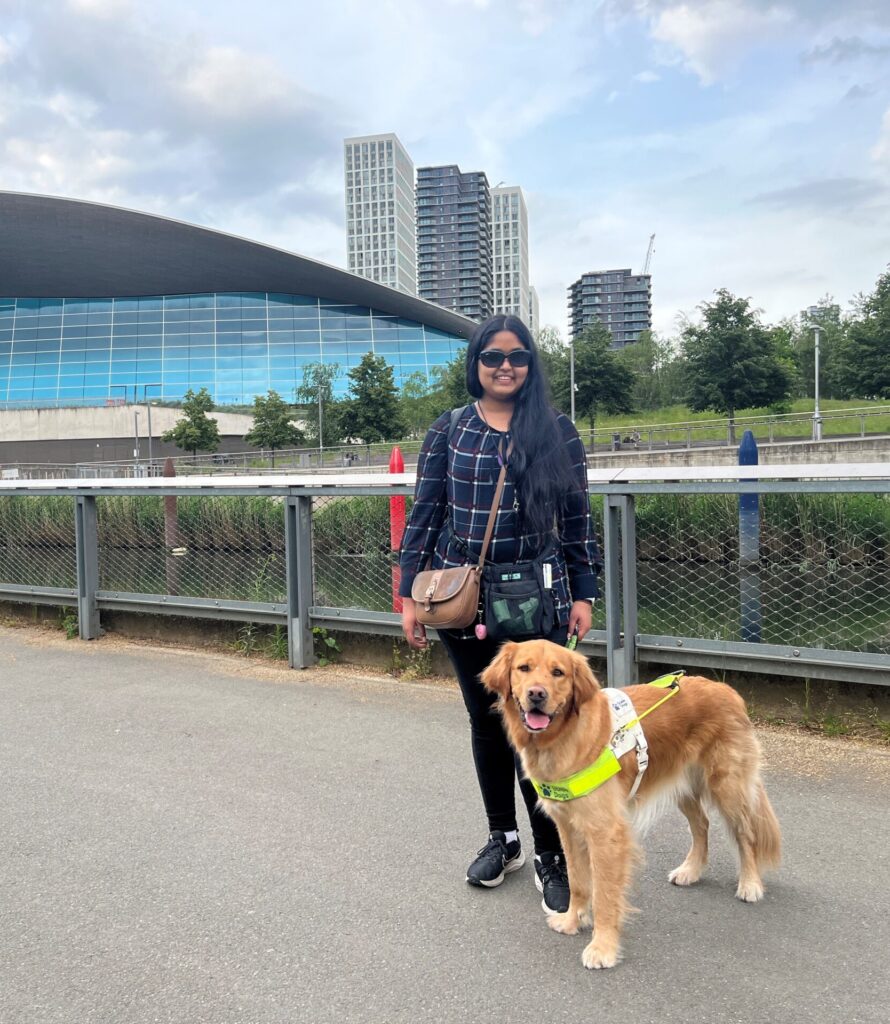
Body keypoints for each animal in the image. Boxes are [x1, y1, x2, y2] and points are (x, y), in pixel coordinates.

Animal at [483, 638, 782, 966]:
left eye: (558, 672)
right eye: (523, 668)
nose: (537, 694)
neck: (565, 737)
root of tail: (727, 690)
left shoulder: (605, 832)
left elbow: (604, 894)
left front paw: (602, 947)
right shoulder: (568, 827)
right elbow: (578, 881)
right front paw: (573, 920)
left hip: (727, 785)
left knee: (745, 833)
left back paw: (750, 884)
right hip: (683, 785)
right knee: (701, 825)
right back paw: (690, 871)